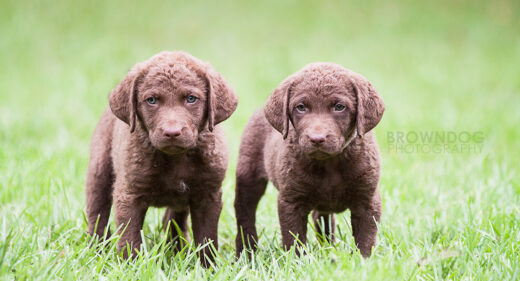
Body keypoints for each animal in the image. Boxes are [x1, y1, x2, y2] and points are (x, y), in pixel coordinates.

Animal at [86, 50, 238, 264]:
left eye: (191, 98)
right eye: (151, 100)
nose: (172, 132)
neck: (176, 158)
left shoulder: (208, 194)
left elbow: (207, 237)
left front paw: (207, 266)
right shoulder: (129, 194)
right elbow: (129, 237)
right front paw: (130, 265)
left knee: (175, 218)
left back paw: (176, 248)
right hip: (99, 168)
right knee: (96, 213)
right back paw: (96, 249)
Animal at [234, 62, 384, 258]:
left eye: (339, 107)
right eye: (301, 107)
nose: (317, 139)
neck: (329, 163)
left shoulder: (368, 200)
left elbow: (366, 238)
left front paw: (363, 261)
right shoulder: (291, 201)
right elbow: (294, 239)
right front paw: (296, 262)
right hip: (248, 173)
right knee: (245, 213)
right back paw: (245, 253)